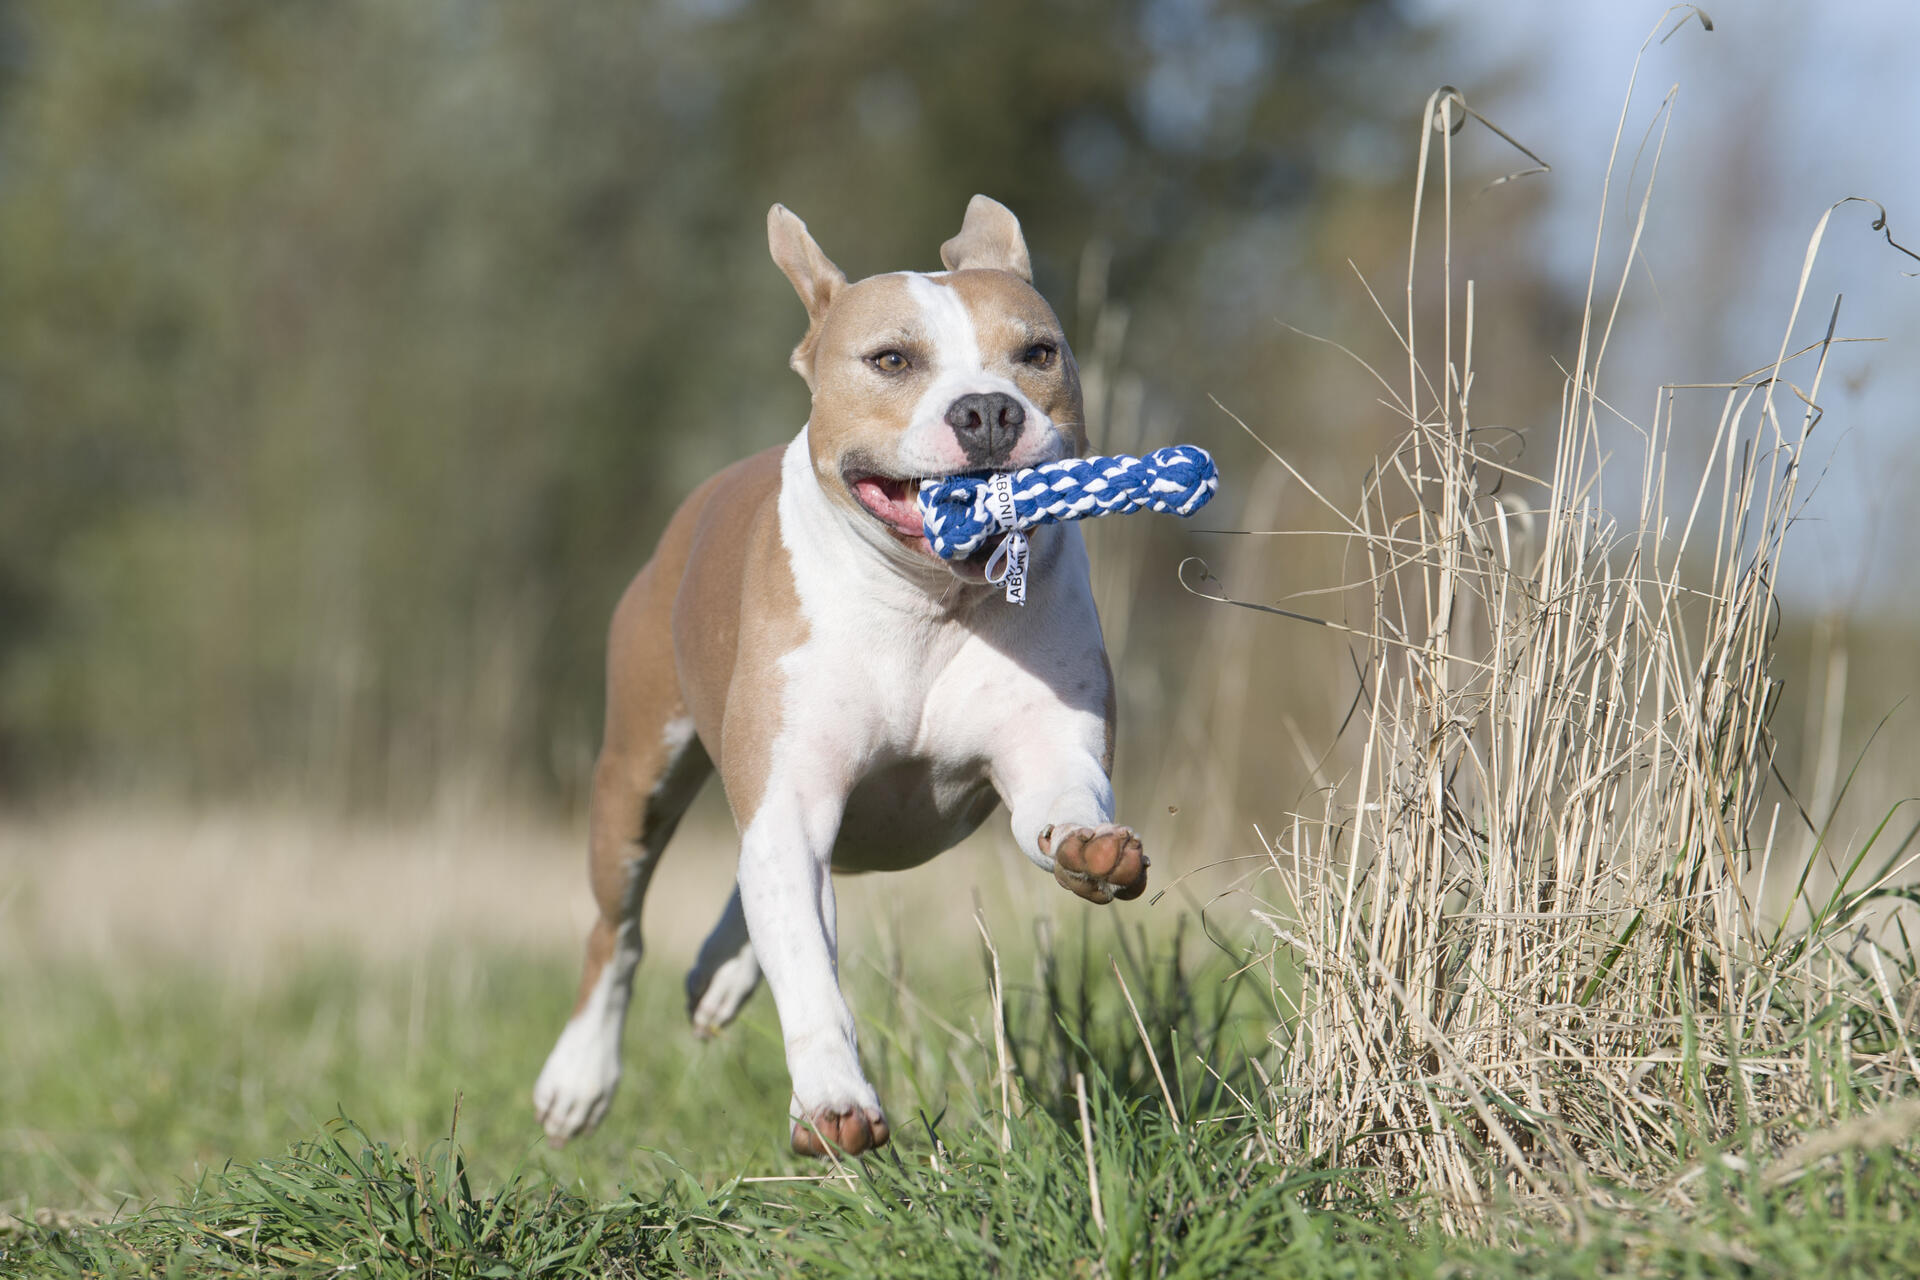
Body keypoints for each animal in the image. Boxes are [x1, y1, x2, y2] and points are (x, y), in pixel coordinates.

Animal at [533, 195, 1144, 1159]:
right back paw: (580, 1075)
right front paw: (830, 1099)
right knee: (619, 930)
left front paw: (1092, 848)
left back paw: (719, 971)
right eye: (891, 360)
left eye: (1038, 354)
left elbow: (1061, 807)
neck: (929, 603)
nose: (987, 410)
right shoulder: (792, 798)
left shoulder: (1046, 748)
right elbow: (809, 976)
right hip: (637, 775)